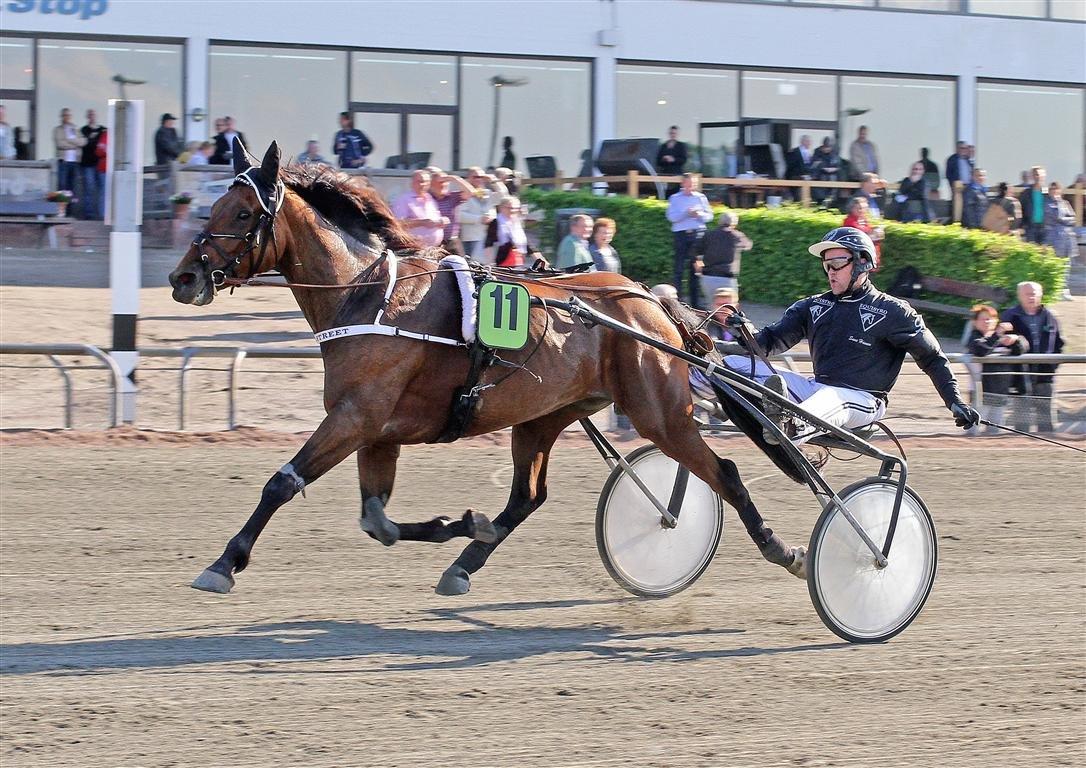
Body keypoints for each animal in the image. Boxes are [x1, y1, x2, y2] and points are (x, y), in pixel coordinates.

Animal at [169, 141, 807, 599]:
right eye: (213, 206)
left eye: (243, 212)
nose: (183, 277)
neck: (371, 296)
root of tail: (649, 300)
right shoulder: (376, 431)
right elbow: (377, 520)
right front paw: (462, 524)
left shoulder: (355, 417)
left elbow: (282, 483)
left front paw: (224, 563)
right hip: (545, 414)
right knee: (527, 496)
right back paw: (465, 562)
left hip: (659, 412)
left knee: (724, 471)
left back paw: (786, 551)